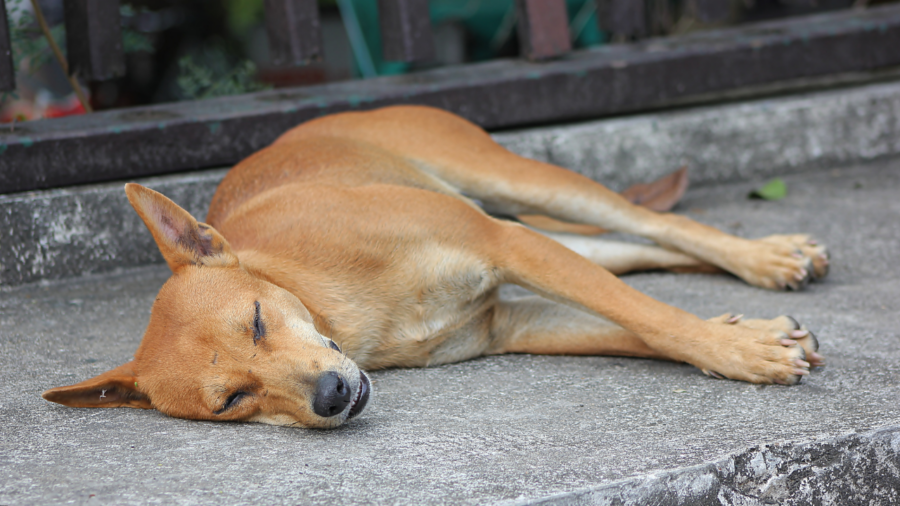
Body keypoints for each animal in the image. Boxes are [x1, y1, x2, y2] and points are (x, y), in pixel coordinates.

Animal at [44, 105, 828, 426]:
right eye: (233, 400)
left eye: (259, 321)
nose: (331, 396)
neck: (333, 304)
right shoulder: (513, 321)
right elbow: (638, 327)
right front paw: (748, 337)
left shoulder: (505, 248)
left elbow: (654, 319)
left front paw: (739, 350)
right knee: (631, 249)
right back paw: (772, 263)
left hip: (516, 186)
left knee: (657, 224)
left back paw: (763, 256)